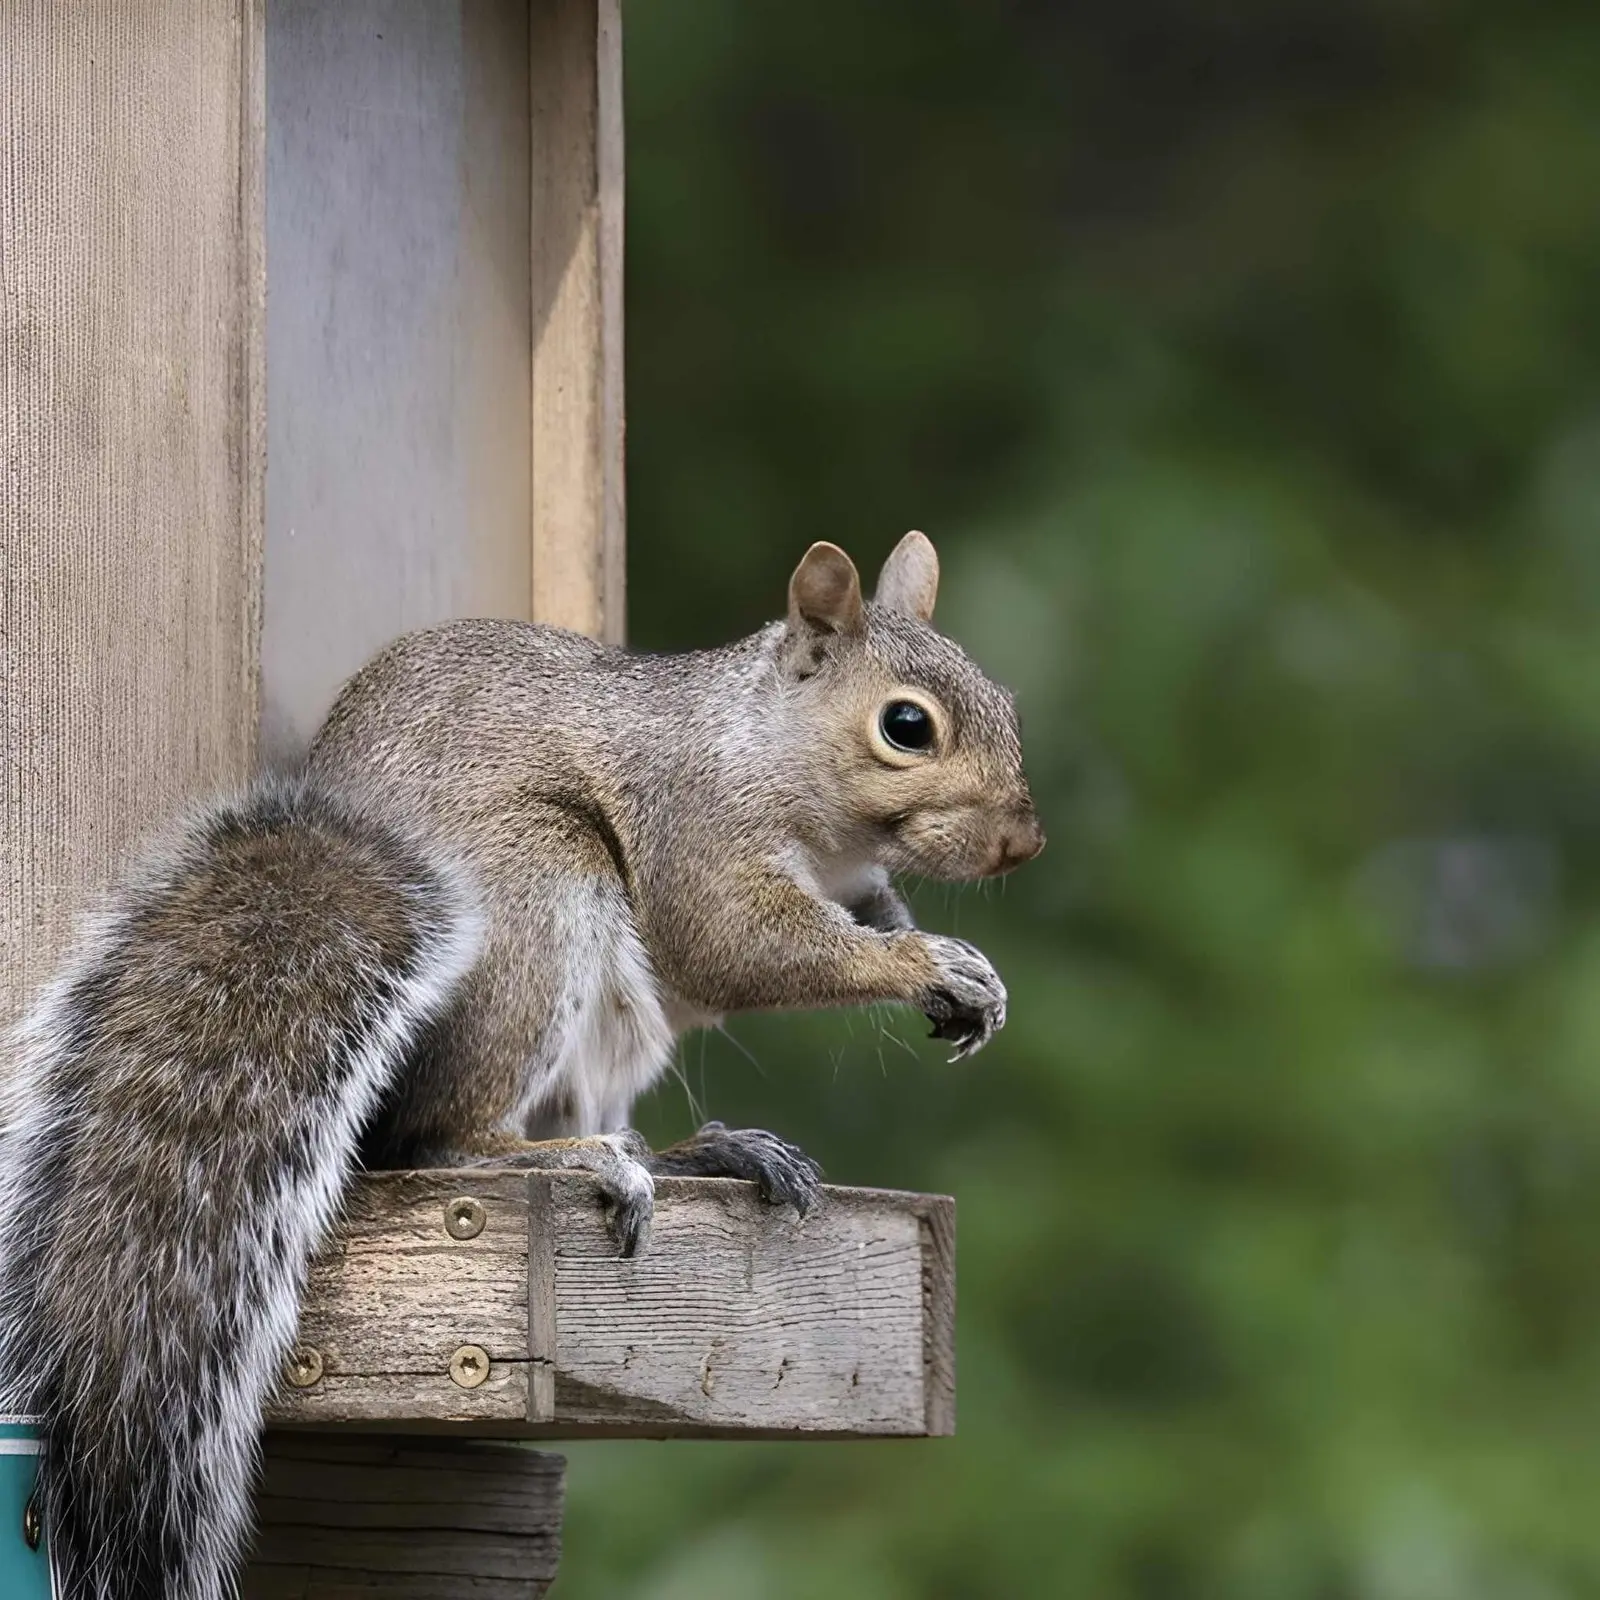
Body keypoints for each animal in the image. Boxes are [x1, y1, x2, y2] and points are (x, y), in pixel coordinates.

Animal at [0, 531, 1042, 1600]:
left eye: (1004, 702)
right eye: (906, 726)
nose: (1023, 841)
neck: (769, 751)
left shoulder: (849, 880)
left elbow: (869, 911)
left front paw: (972, 981)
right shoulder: (697, 832)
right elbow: (739, 949)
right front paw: (926, 963)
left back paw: (698, 1152)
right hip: (539, 896)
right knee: (440, 1141)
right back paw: (572, 1160)